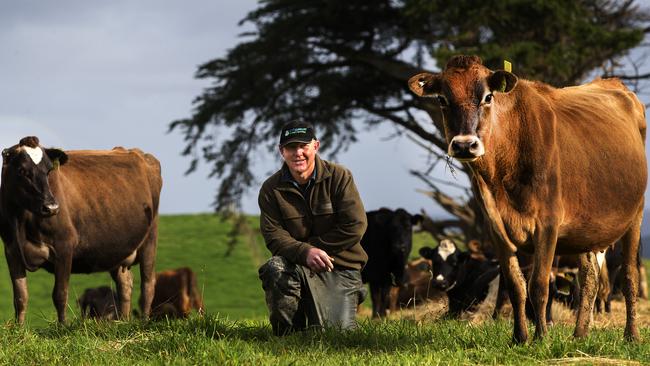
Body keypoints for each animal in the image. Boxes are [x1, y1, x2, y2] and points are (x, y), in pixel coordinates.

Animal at [0, 137, 162, 324]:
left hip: (150, 237)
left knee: (148, 283)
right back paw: (122, 321)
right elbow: (20, 297)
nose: (51, 207)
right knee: (125, 284)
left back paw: (144, 321)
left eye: (49, 170)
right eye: (22, 170)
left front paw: (62, 327)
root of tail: (138, 153)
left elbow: (60, 294)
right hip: (116, 249)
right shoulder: (11, 250)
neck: (21, 223)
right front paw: (19, 328)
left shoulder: (64, 246)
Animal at [408, 55, 644, 344]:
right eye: (442, 98)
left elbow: (539, 285)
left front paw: (542, 338)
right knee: (589, 279)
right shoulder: (496, 227)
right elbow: (514, 285)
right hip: (590, 229)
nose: (464, 145)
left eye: (488, 97)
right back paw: (580, 335)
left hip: (635, 216)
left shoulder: (548, 224)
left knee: (629, 275)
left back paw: (631, 335)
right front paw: (519, 337)